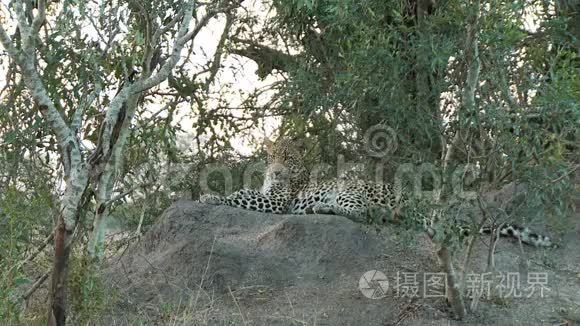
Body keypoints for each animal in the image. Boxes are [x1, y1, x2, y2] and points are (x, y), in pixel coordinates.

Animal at [201, 136, 556, 248]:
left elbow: (240, 194)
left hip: (350, 188)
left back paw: (323, 209)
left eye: (287, 159)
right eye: (272, 156)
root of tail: (414, 200)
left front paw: (208, 197)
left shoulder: (276, 201)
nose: (275, 170)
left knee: (368, 213)